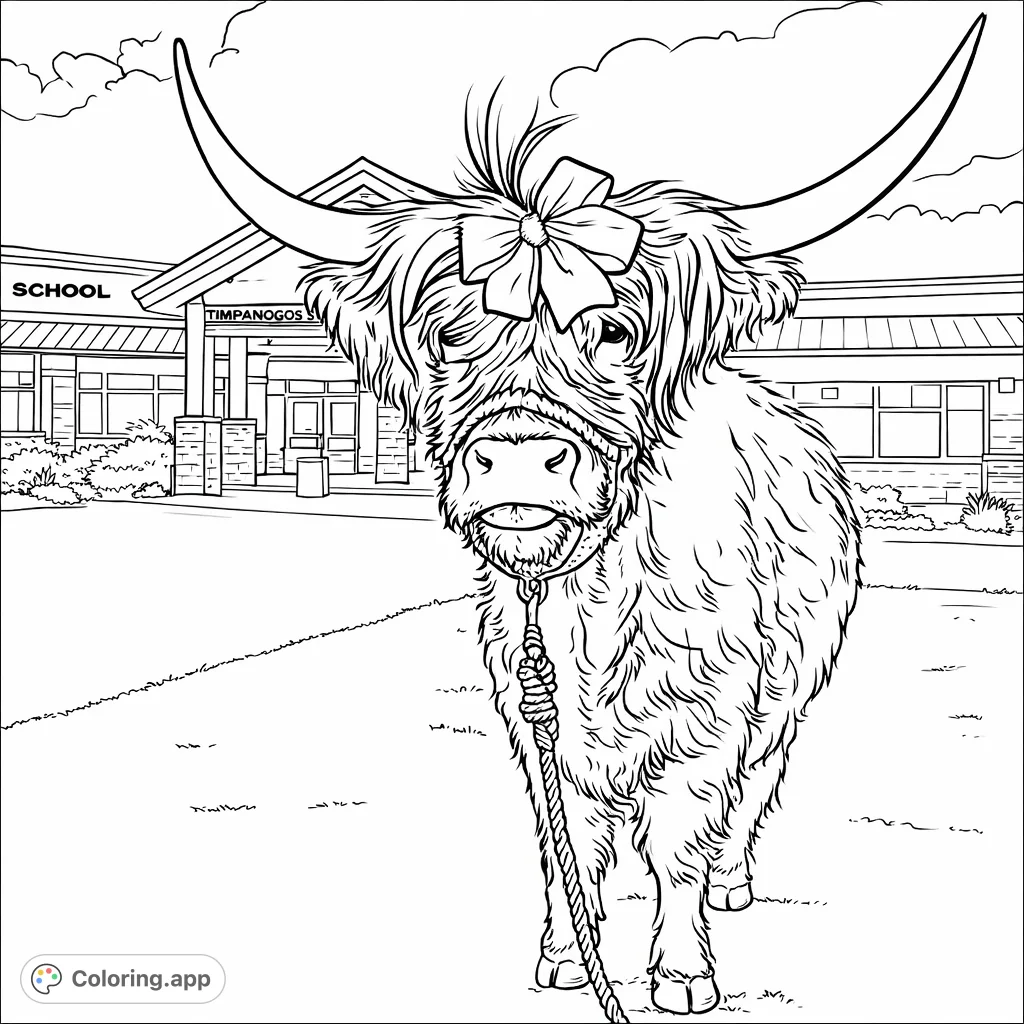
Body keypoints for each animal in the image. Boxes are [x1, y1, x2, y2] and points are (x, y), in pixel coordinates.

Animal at [171, 17, 983, 1015]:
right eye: (449, 333)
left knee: (758, 786)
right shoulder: (534, 722)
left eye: (615, 330)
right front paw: (567, 952)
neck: (586, 607)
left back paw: (735, 883)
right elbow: (567, 846)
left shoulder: (710, 715)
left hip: (793, 684)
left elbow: (680, 844)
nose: (519, 456)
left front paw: (681, 971)